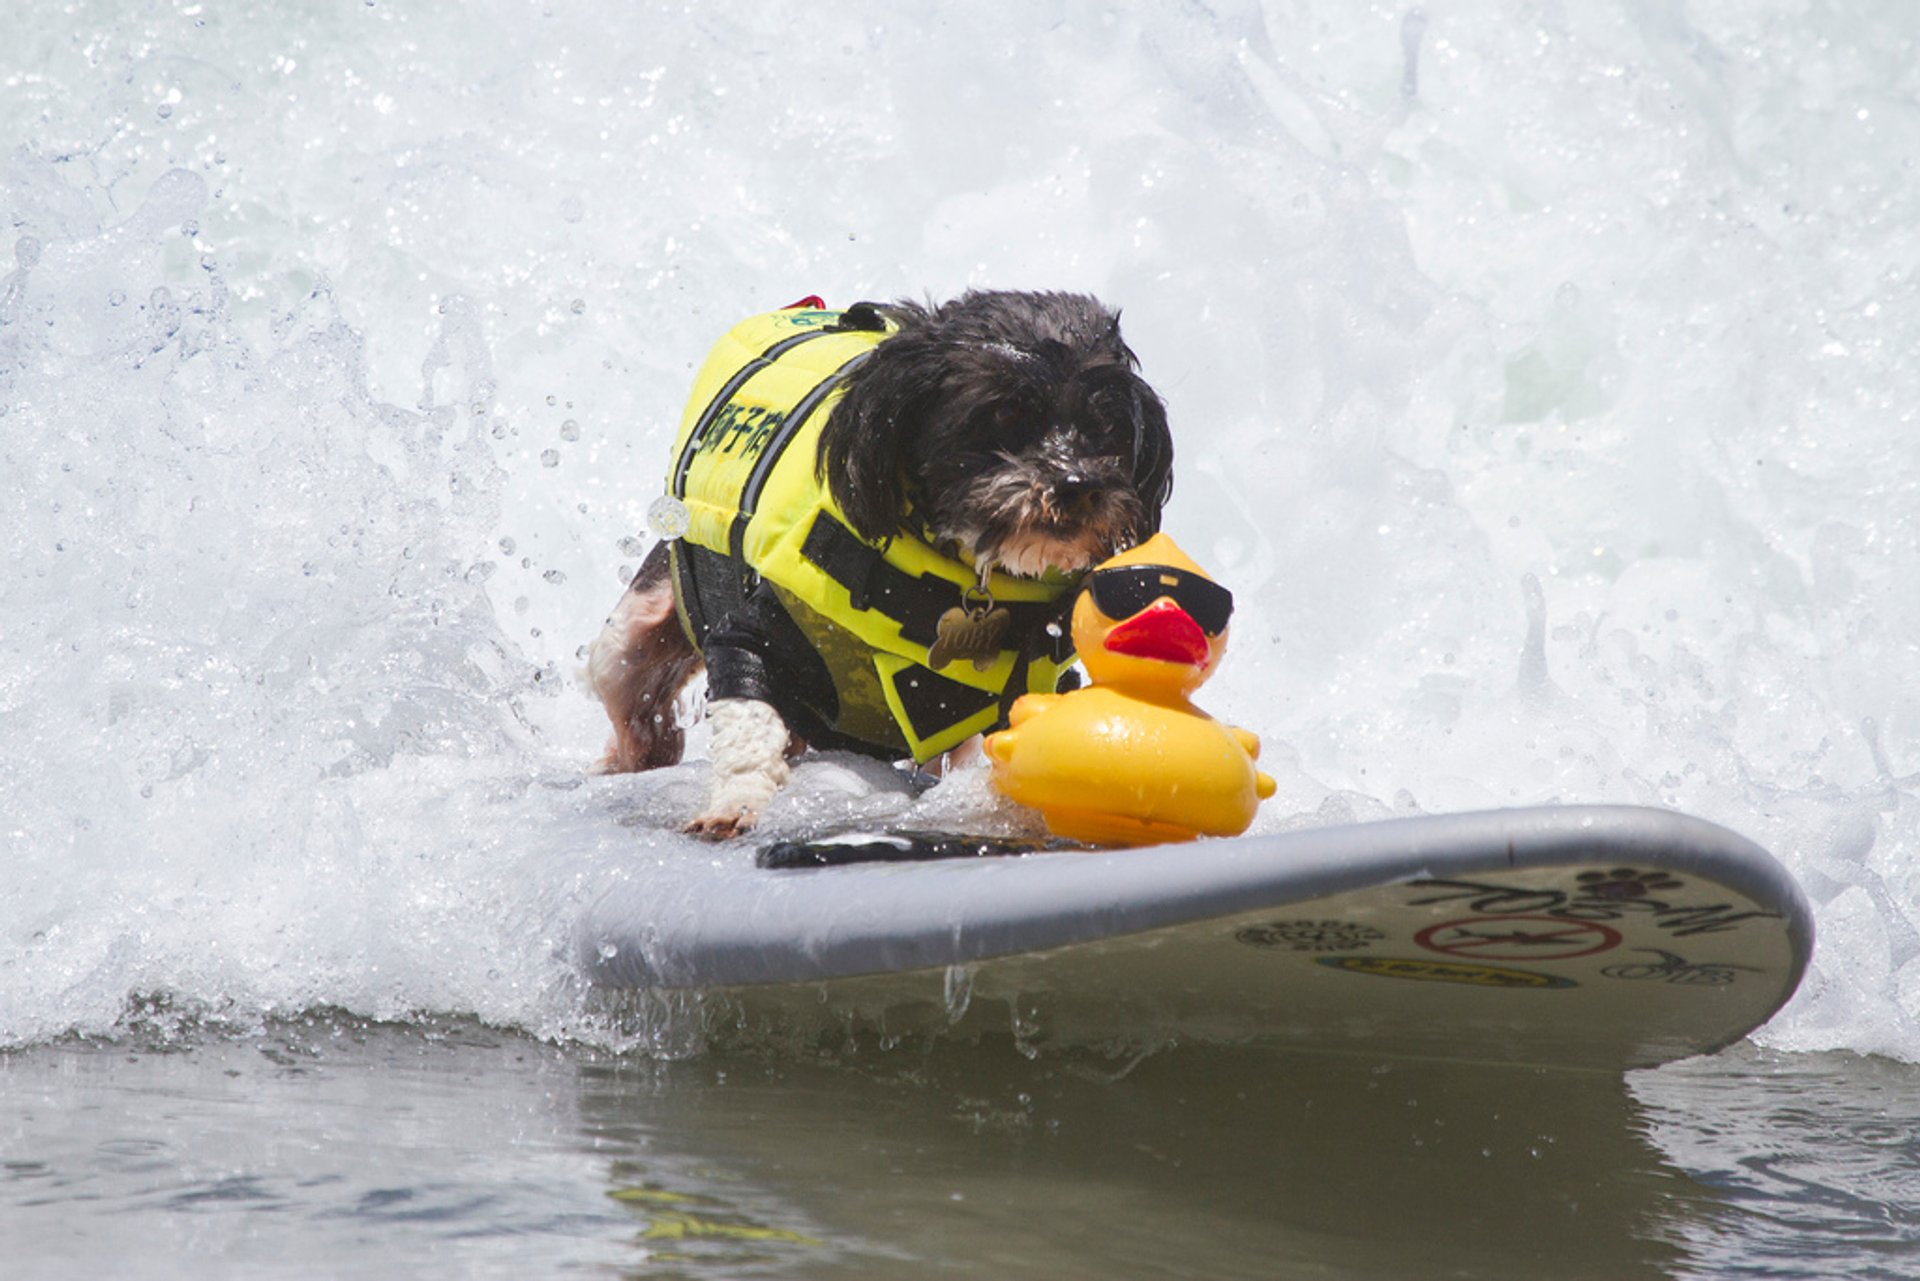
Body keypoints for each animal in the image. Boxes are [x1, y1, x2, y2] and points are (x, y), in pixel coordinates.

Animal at [583, 286, 1167, 837]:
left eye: (1106, 427)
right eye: (1003, 412)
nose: (1078, 485)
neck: (956, 572)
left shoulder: (1032, 680)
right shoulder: (748, 637)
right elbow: (749, 722)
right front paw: (735, 803)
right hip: (628, 642)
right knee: (638, 712)